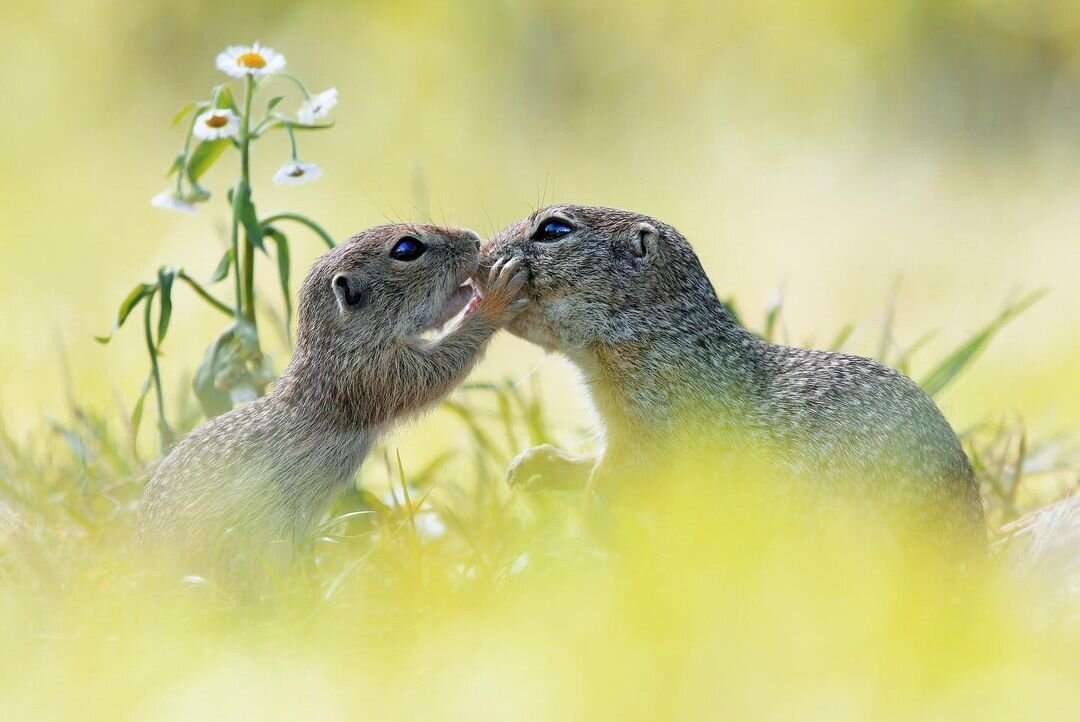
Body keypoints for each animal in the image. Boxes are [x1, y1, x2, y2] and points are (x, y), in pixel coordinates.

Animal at [139, 222, 527, 569]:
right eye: (406, 249)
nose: (474, 239)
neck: (338, 345)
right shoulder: (372, 373)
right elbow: (438, 370)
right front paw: (495, 298)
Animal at [479, 205, 989, 548]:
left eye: (553, 229)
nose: (482, 253)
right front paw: (539, 463)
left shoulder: (655, 419)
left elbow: (623, 473)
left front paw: (587, 511)